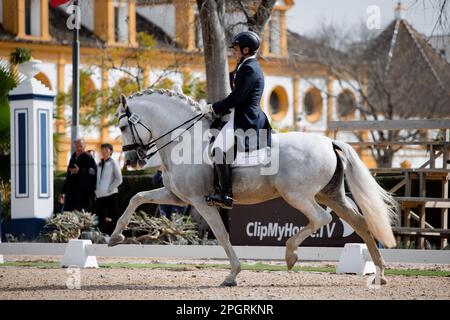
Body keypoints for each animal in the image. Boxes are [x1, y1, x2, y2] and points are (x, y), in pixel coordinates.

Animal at [110, 89, 398, 286]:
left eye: (123, 126)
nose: (132, 159)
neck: (185, 140)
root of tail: (328, 141)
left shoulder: (201, 201)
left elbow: (222, 236)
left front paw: (232, 275)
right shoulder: (177, 197)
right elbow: (137, 197)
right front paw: (115, 237)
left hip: (298, 195)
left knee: (321, 219)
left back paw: (291, 254)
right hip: (330, 194)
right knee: (360, 222)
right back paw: (380, 274)